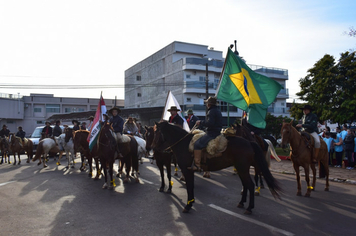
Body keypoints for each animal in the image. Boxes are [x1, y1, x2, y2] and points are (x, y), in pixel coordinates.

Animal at [150, 121, 280, 215]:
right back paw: (242, 203)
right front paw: (190, 203)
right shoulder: (188, 170)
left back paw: (249, 208)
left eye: (157, 133)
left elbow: (190, 187)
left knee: (250, 185)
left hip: (243, 168)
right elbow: (190, 186)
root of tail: (249, 143)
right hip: (241, 169)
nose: (153, 148)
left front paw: (188, 205)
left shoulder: (187, 170)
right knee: (246, 184)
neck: (184, 144)